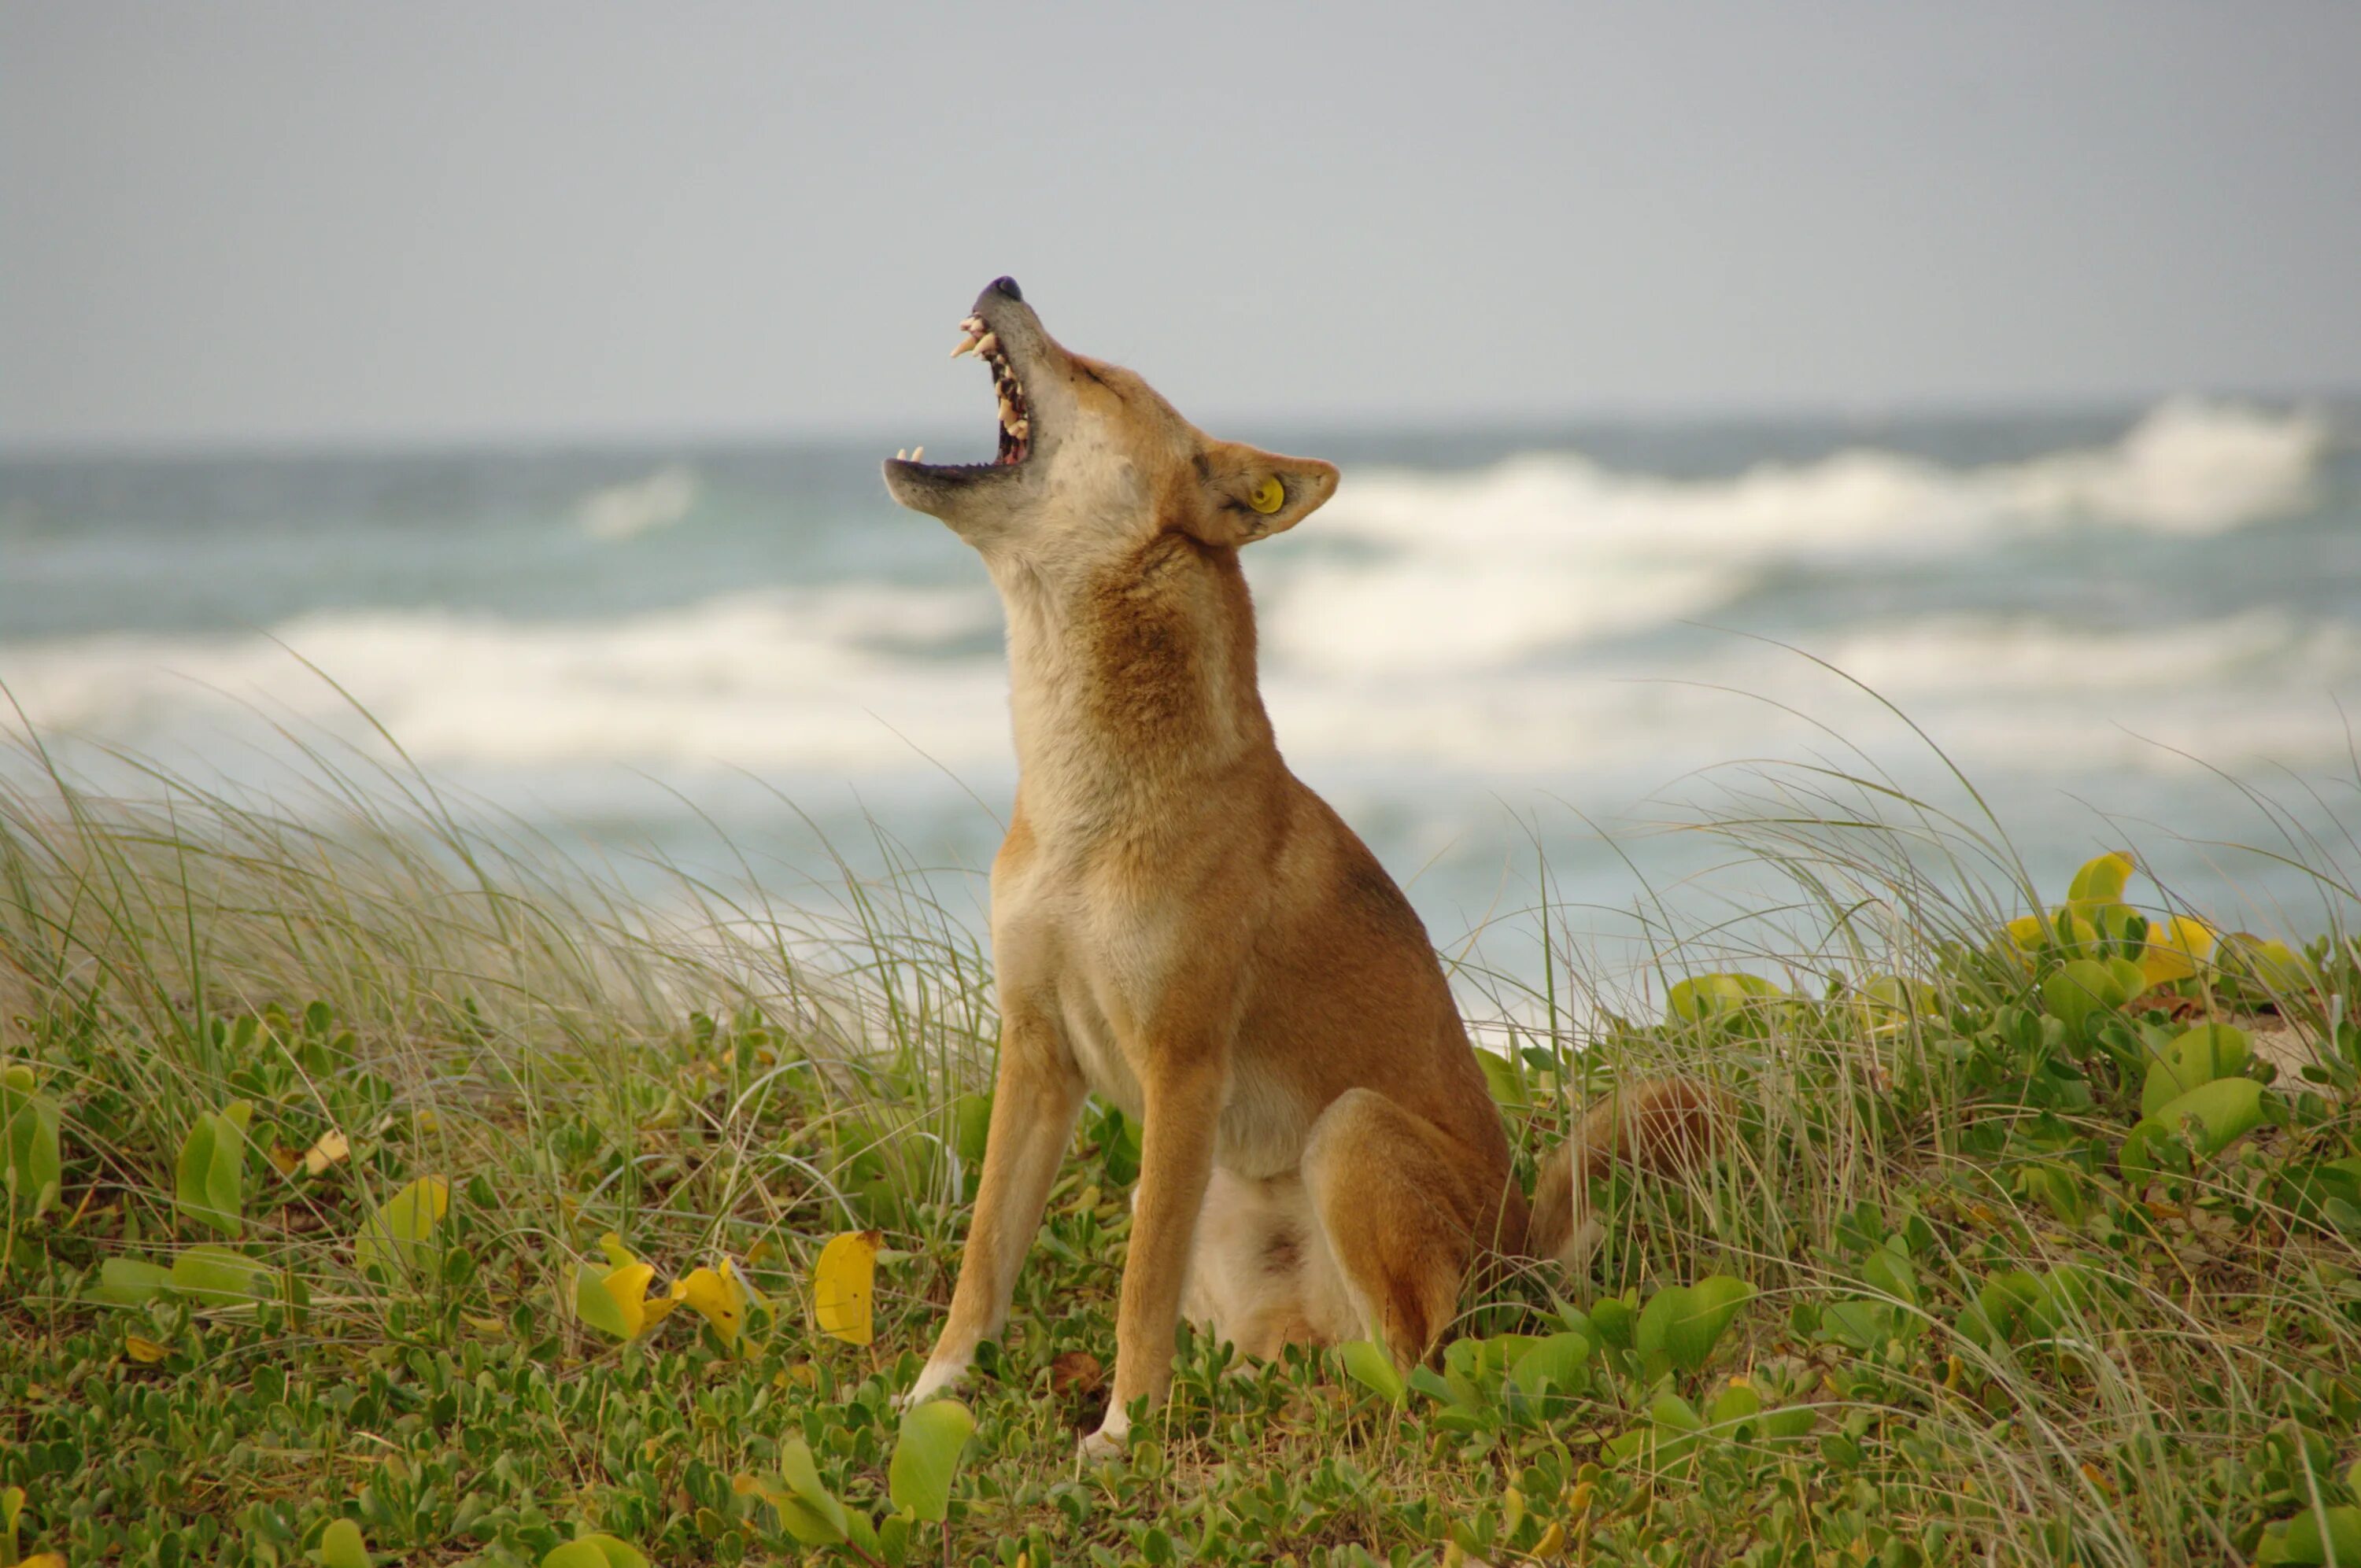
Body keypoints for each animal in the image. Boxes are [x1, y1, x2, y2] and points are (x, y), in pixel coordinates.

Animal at [878, 272, 1728, 1454]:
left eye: (1096, 375)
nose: (1002, 281)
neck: (1090, 800)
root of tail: (1525, 1248)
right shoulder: (1037, 1051)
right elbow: (982, 1261)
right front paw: (930, 1395)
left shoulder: (1182, 1065)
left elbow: (1136, 1289)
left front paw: (1122, 1432)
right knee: (1307, 1355)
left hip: (1348, 1136)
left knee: (1419, 1362)